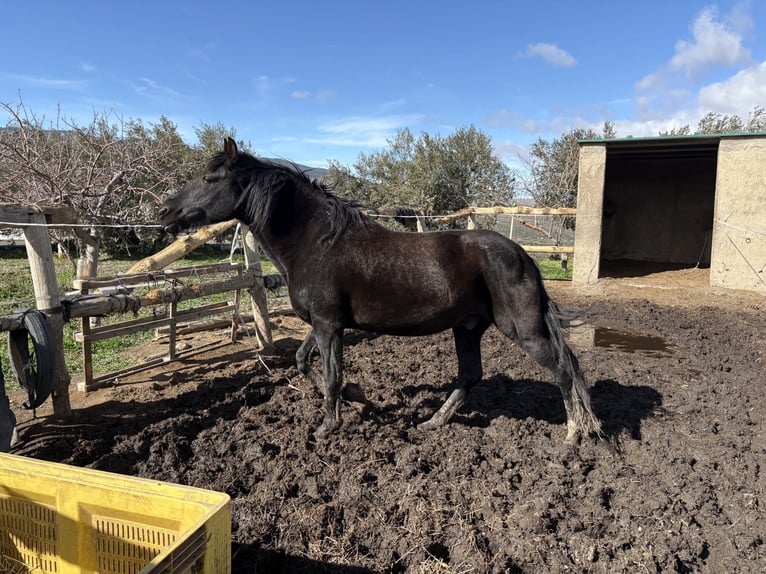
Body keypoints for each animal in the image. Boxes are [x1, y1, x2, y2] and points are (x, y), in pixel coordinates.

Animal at [158, 138, 601, 443]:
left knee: (563, 369)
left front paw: (326, 427)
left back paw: (573, 434)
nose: (165, 211)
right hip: (468, 327)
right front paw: (360, 398)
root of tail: (522, 255)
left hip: (521, 328)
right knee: (471, 375)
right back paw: (434, 421)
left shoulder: (328, 324)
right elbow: (303, 362)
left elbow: (331, 374)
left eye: (210, 178)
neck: (318, 242)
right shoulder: (324, 323)